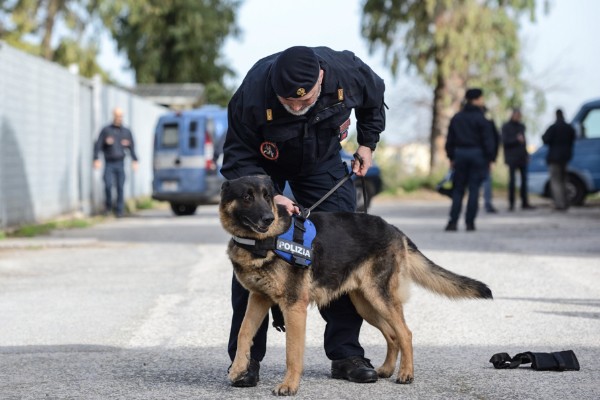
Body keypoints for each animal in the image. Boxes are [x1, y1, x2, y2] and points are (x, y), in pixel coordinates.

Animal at [220, 176, 492, 396]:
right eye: (247, 197)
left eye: (268, 197)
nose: (268, 218)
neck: (261, 242)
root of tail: (394, 229)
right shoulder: (258, 299)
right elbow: (244, 332)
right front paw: (239, 369)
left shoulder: (294, 307)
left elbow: (292, 353)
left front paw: (289, 386)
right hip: (366, 304)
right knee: (393, 335)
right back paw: (385, 369)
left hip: (379, 298)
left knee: (405, 333)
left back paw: (406, 373)